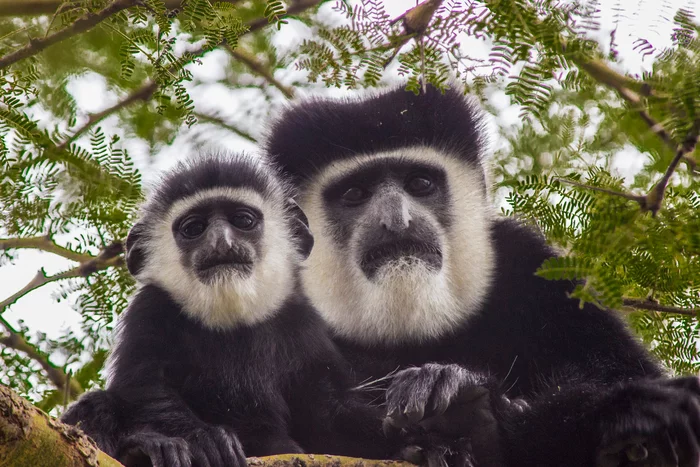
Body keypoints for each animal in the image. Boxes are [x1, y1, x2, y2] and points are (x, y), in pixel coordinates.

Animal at [61, 154, 400, 467]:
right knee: (97, 406)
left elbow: (326, 410)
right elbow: (145, 387)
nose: (220, 242)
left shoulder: (300, 324)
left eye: (243, 221)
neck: (232, 317)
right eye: (194, 228)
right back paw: (145, 449)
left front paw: (410, 430)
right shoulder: (150, 310)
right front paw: (204, 439)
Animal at [266, 85, 700, 467]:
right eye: (355, 194)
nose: (395, 221)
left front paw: (451, 393)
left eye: (419, 183)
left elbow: (618, 367)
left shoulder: (531, 266)